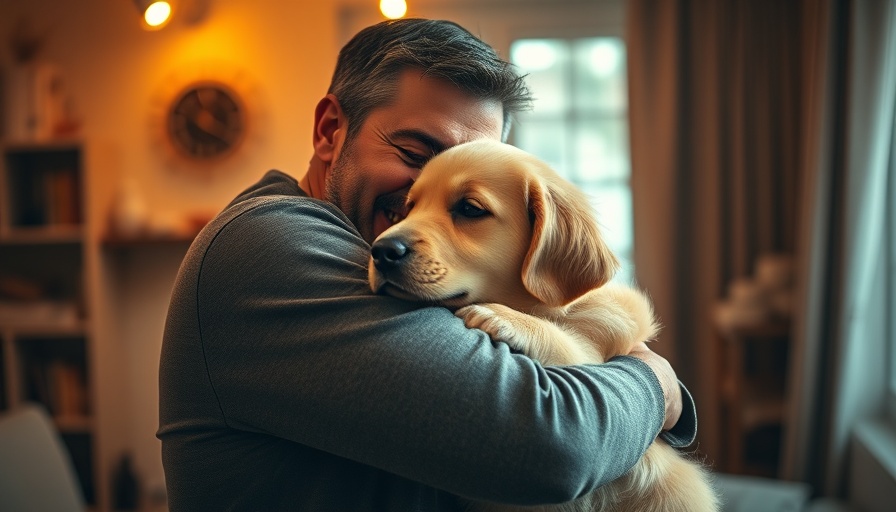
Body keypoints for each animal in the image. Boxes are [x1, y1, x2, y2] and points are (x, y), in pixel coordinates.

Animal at [368, 140, 716, 512]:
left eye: (470, 209)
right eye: (409, 208)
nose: (381, 250)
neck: (535, 303)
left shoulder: (605, 340)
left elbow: (568, 341)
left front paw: (502, 316)